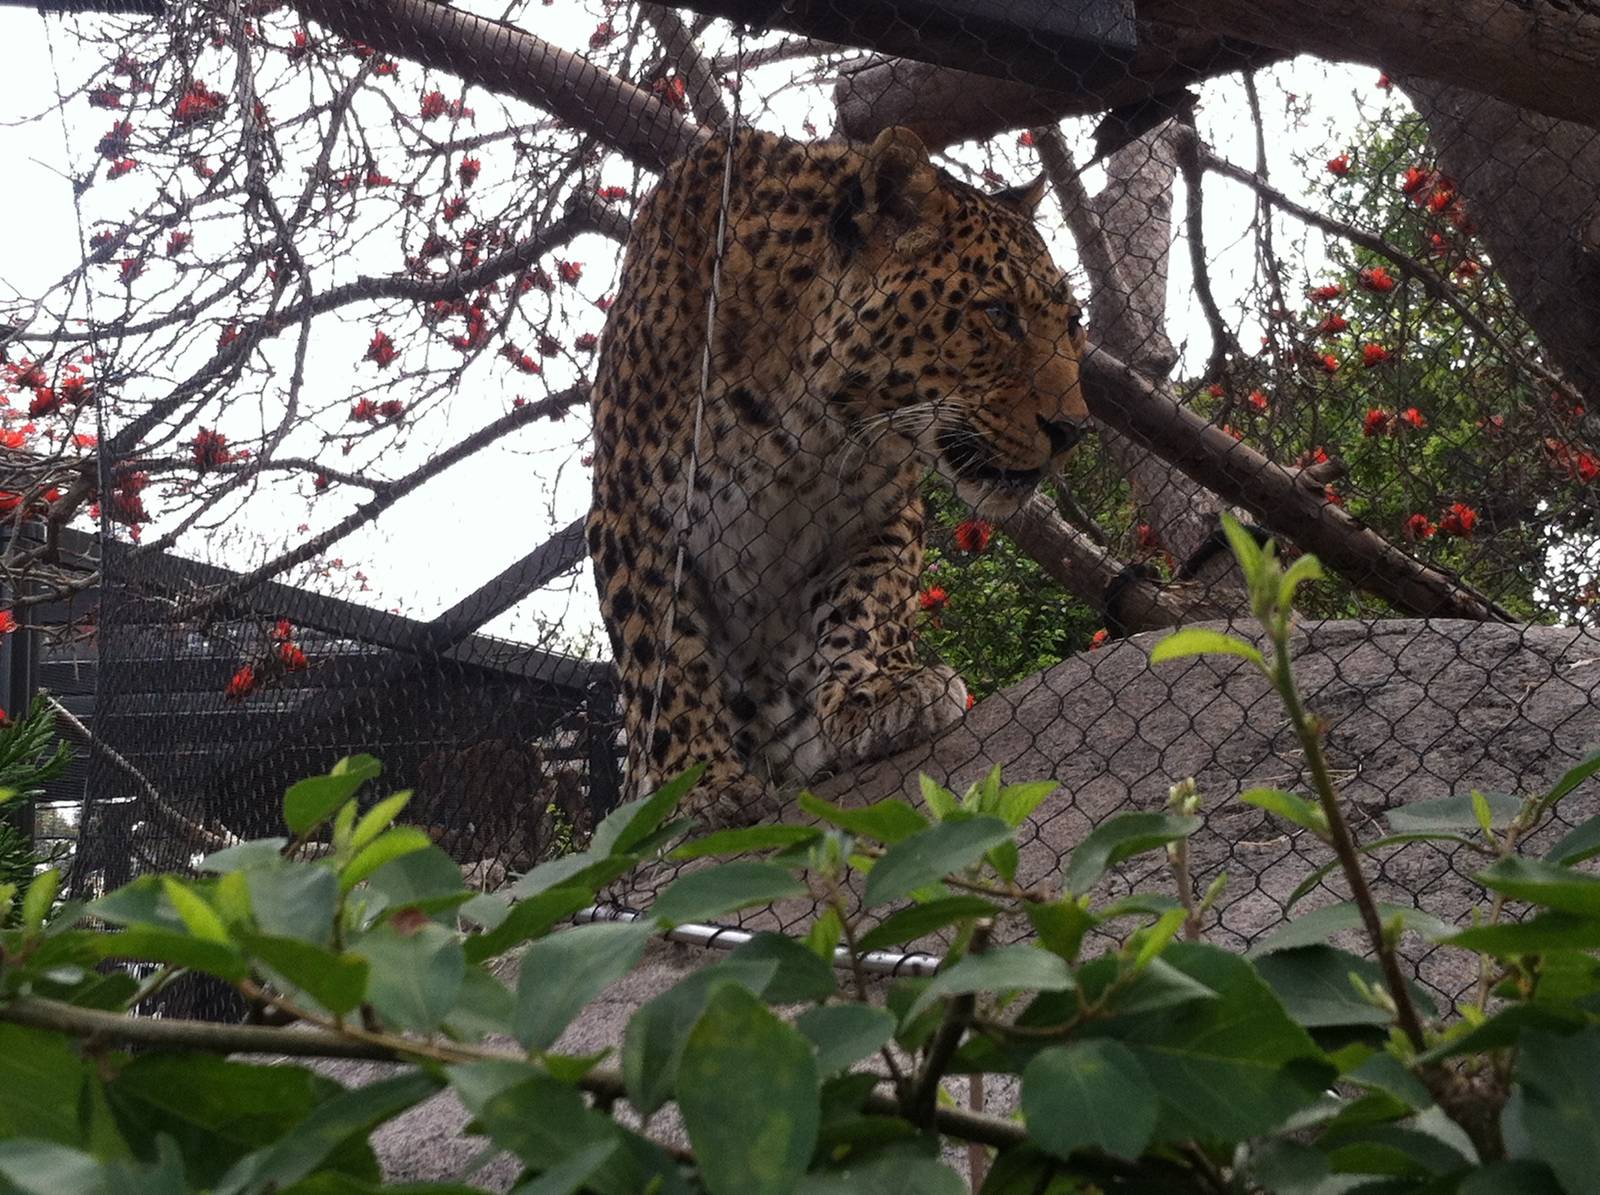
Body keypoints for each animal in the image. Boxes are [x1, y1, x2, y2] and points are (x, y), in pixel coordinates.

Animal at [587, 125, 1090, 826]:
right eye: (998, 314)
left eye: (1072, 323)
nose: (1074, 430)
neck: (803, 425)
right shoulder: (634, 515)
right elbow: (664, 656)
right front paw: (697, 783)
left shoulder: (883, 510)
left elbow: (868, 605)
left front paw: (880, 692)